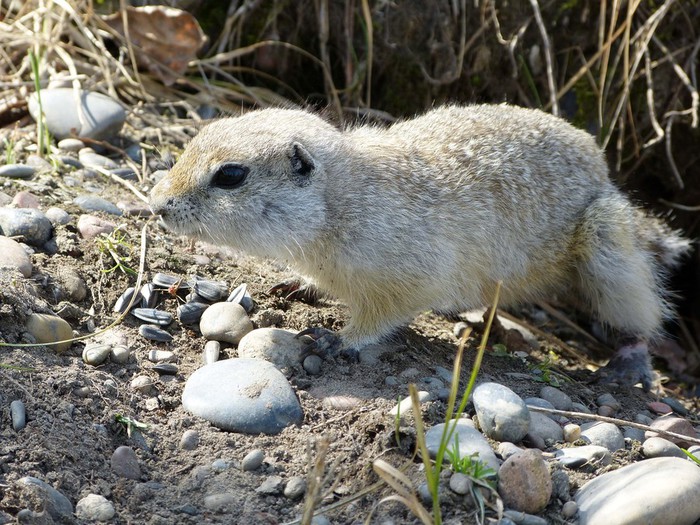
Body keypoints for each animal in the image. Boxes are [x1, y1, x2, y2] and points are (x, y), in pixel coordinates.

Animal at [149, 103, 688, 388]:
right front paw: (298, 285)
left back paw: (629, 360)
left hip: (605, 240)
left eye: (230, 175)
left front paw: (338, 338)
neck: (344, 200)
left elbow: (385, 312)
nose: (156, 204)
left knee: (638, 312)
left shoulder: (412, 273)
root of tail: (604, 174)